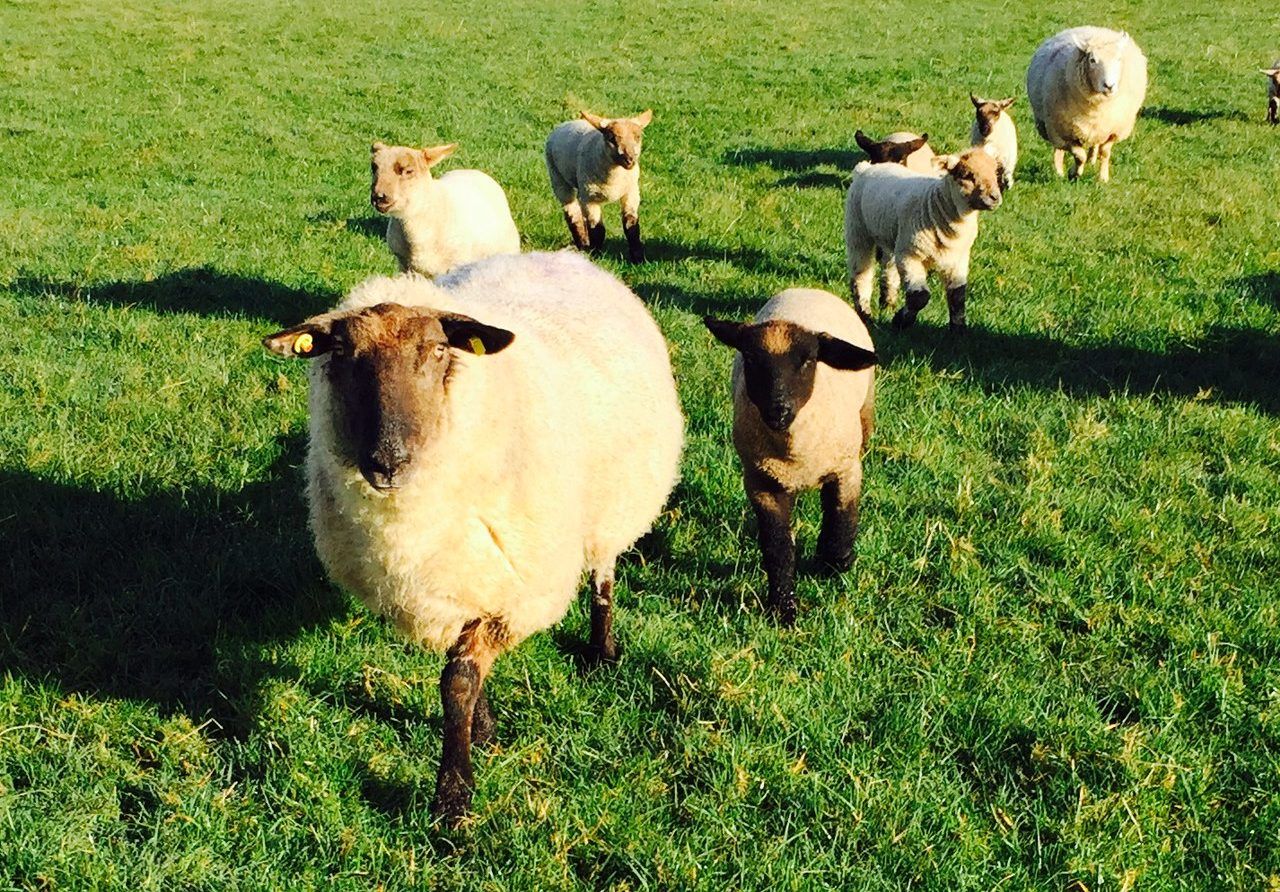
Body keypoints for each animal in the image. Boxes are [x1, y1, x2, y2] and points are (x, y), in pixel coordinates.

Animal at [262, 250, 683, 823]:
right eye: (342, 353)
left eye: (439, 349)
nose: (387, 462)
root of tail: (562, 256)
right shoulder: (455, 582)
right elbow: (461, 674)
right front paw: (481, 731)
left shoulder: (515, 593)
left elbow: (456, 681)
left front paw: (453, 795)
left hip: (612, 506)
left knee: (603, 574)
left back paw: (603, 649)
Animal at [545, 109, 653, 263]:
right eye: (611, 138)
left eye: (638, 137)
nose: (630, 160)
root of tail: (566, 123)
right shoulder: (589, 198)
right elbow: (597, 230)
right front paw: (595, 255)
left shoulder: (631, 192)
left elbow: (631, 224)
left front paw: (638, 258)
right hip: (557, 177)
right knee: (572, 214)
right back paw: (583, 244)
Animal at [703, 289, 878, 626]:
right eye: (751, 358)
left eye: (808, 360)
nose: (778, 409)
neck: (794, 449)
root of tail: (808, 289)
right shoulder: (762, 483)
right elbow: (778, 546)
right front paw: (782, 609)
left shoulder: (847, 470)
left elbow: (842, 518)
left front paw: (835, 563)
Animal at [844, 147, 1002, 329]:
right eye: (966, 175)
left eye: (995, 172)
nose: (995, 197)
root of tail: (866, 168)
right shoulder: (910, 255)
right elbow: (919, 298)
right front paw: (901, 321)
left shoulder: (959, 259)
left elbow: (958, 296)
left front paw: (958, 330)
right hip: (857, 228)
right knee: (860, 272)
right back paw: (865, 313)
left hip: (892, 236)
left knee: (889, 267)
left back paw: (888, 303)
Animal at [1026, 27, 1148, 182]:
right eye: (1092, 60)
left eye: (1119, 59)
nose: (1109, 86)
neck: (1097, 108)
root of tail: (1095, 30)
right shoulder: (1064, 132)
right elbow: (1079, 156)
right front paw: (1074, 173)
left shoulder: (1113, 130)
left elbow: (1104, 152)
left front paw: (1103, 178)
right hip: (1050, 126)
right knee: (1058, 149)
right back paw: (1059, 172)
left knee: (1094, 144)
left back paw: (1092, 159)